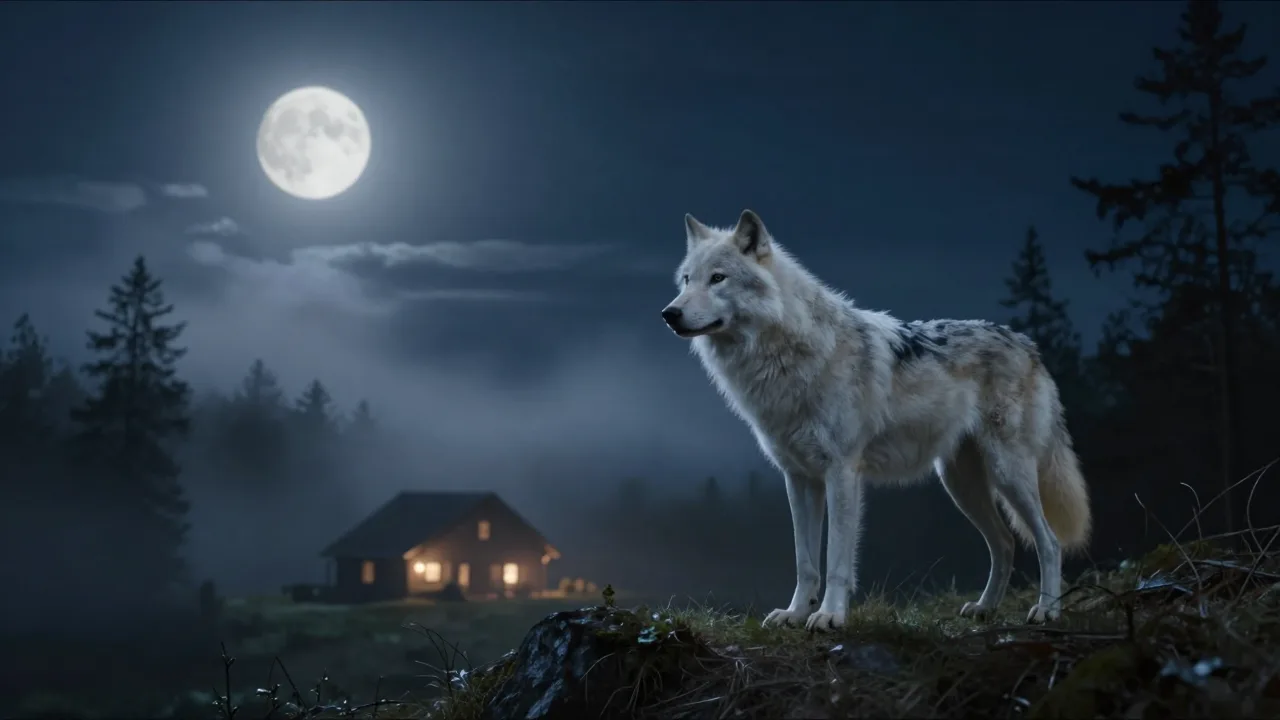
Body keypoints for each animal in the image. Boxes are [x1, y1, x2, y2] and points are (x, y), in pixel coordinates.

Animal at [661, 209, 1092, 632]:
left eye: (718, 278)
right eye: (687, 279)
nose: (669, 313)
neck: (787, 356)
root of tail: (1028, 344)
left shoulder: (841, 472)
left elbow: (836, 559)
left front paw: (829, 616)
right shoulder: (798, 478)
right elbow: (805, 562)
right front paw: (795, 613)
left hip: (1008, 474)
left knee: (1049, 541)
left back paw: (1047, 610)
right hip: (960, 485)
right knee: (1004, 543)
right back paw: (984, 608)